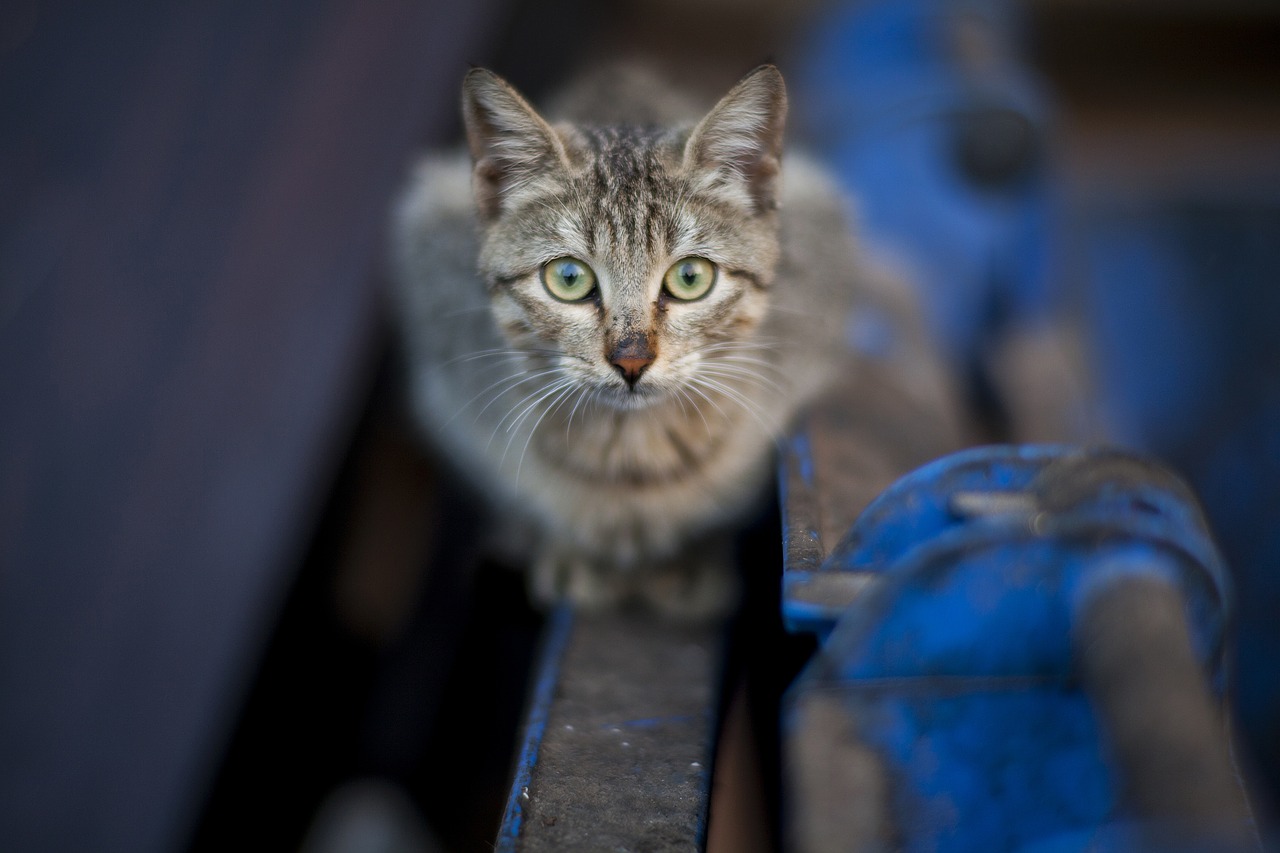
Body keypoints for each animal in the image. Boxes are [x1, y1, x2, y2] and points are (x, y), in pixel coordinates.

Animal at [389, 63, 865, 614]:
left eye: (690, 277)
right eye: (568, 278)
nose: (632, 360)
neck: (630, 454)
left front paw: (693, 555)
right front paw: (566, 547)